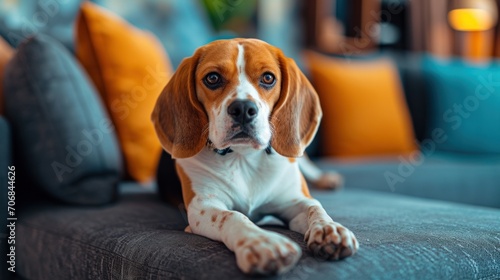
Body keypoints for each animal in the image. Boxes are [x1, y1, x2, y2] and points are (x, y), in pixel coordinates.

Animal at [150, 38, 358, 274]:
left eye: (268, 78)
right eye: (212, 78)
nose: (242, 108)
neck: (243, 157)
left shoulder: (295, 202)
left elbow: (315, 207)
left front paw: (329, 228)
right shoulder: (202, 206)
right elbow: (233, 216)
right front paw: (261, 242)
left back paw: (327, 179)